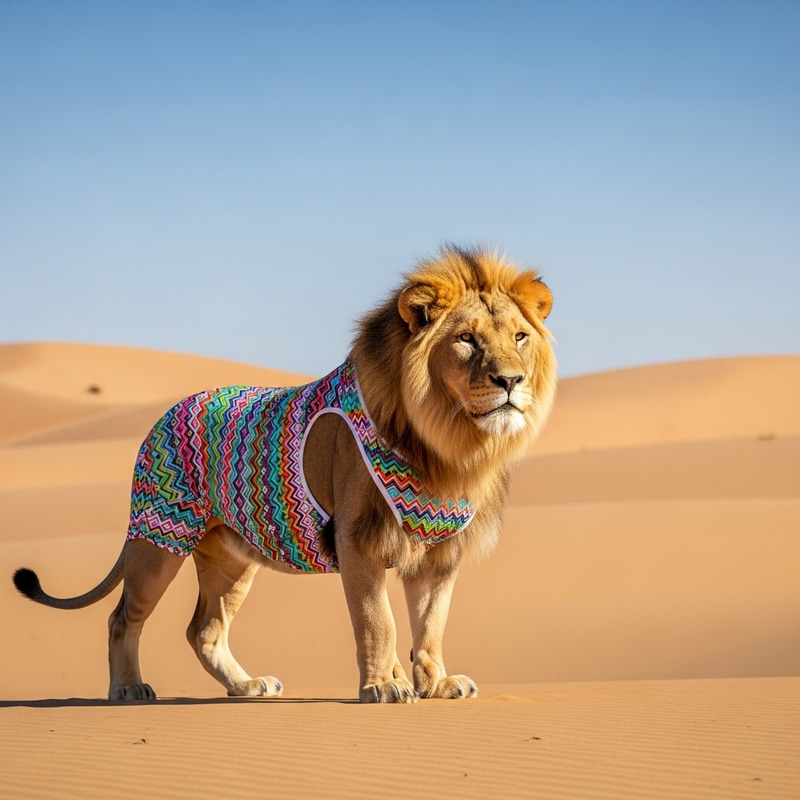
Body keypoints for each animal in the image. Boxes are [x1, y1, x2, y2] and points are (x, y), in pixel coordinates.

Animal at [13, 245, 556, 703]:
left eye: (520, 337)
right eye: (466, 340)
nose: (511, 381)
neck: (449, 442)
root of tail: (165, 414)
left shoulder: (440, 554)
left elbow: (431, 626)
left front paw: (436, 684)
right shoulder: (358, 539)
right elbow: (378, 621)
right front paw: (382, 686)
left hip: (231, 559)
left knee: (204, 630)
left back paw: (246, 686)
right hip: (158, 539)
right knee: (122, 617)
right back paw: (128, 688)